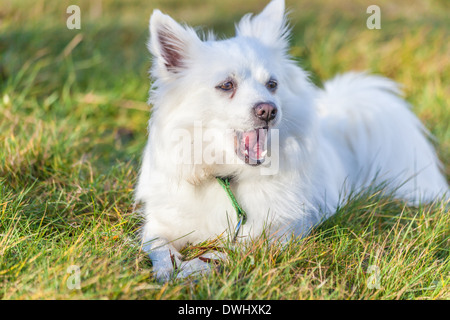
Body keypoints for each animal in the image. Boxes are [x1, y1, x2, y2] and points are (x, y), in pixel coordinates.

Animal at [135, 0, 448, 282]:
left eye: (272, 84)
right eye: (226, 85)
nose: (268, 110)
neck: (228, 178)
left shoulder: (274, 234)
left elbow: (223, 251)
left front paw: (193, 268)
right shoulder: (160, 224)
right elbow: (157, 245)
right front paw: (168, 269)